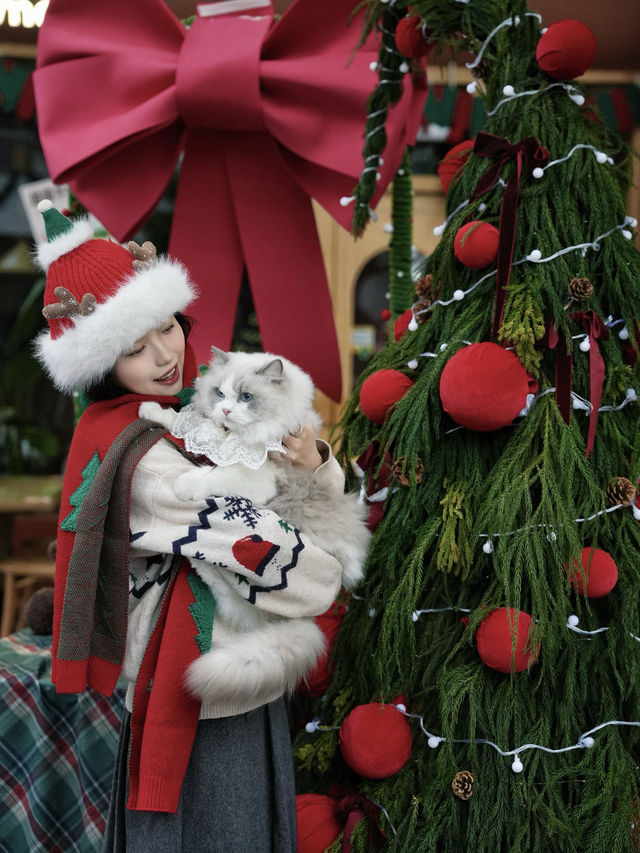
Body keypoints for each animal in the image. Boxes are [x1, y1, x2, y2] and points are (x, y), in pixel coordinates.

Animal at [140, 346, 370, 704]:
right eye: (220, 393)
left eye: (246, 397)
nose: (225, 409)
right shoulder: (209, 435)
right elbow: (186, 424)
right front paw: (151, 409)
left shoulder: (256, 476)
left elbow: (214, 474)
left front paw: (185, 484)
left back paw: (193, 557)